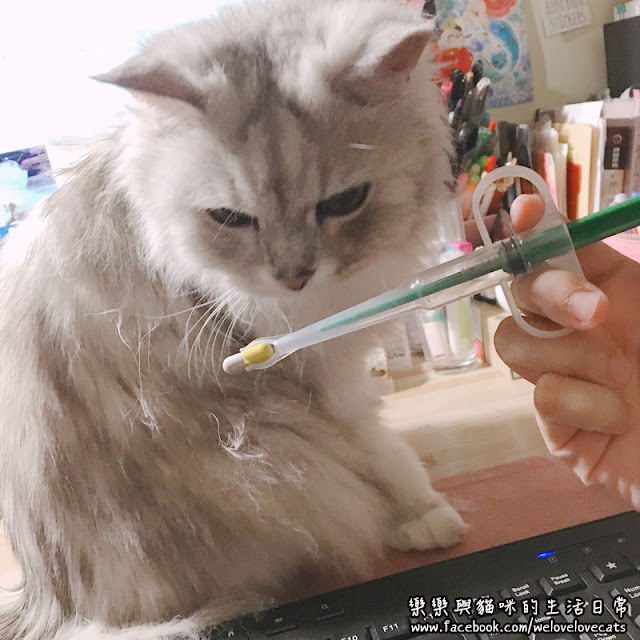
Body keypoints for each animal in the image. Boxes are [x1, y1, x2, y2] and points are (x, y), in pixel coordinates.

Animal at [0, 0, 466, 638]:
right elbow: (380, 449)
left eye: (345, 203)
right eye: (230, 218)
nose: (294, 276)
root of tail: (50, 604)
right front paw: (425, 514)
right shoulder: (321, 379)